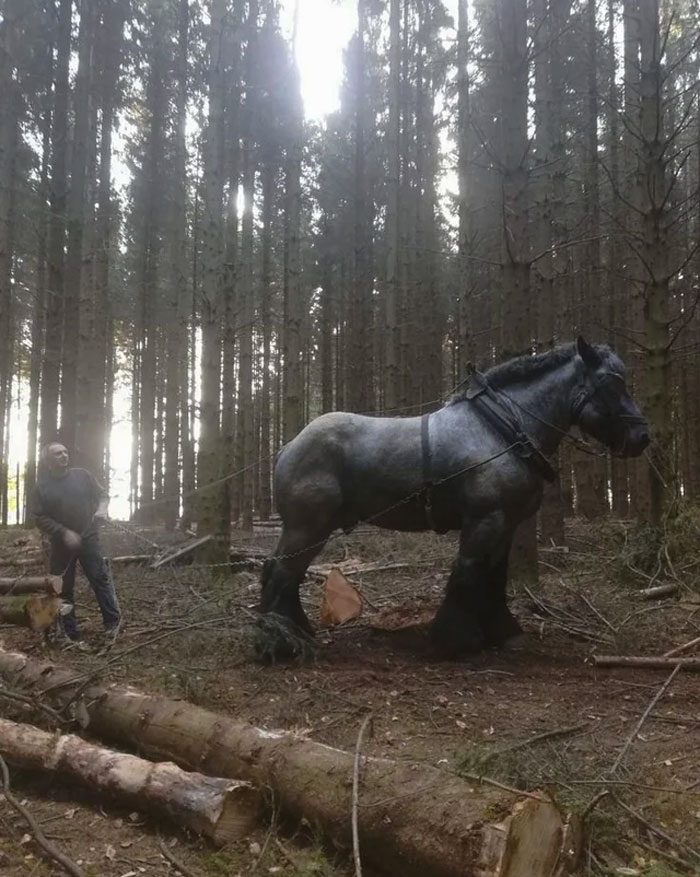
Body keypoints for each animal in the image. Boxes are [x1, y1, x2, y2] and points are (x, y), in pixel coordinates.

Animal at [258, 337, 650, 659]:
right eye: (611, 383)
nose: (642, 437)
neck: (504, 430)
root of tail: (289, 447)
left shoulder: (506, 524)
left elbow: (494, 577)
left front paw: (502, 632)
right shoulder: (484, 519)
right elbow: (467, 574)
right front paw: (455, 641)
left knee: (285, 572)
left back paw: (296, 631)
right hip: (308, 526)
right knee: (281, 570)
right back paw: (279, 640)